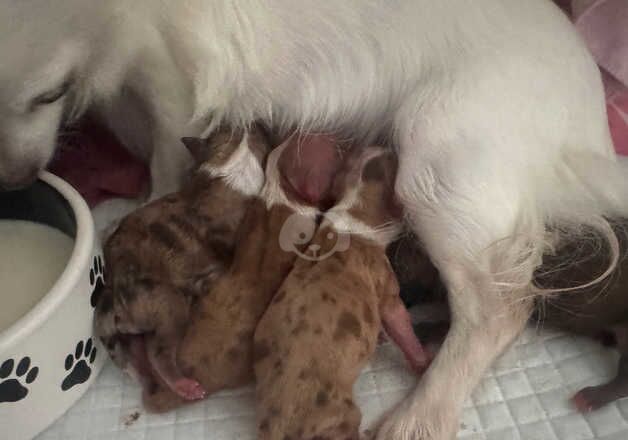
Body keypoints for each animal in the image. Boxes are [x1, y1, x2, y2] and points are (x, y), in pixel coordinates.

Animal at [94, 124, 272, 402]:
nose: (257, 123)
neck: (230, 157)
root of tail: (113, 295)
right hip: (169, 305)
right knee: (158, 352)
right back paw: (183, 385)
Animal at [253, 148, 430, 440]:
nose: (392, 147)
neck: (354, 206)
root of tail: (278, 426)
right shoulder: (389, 296)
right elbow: (403, 329)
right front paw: (424, 362)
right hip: (341, 416)